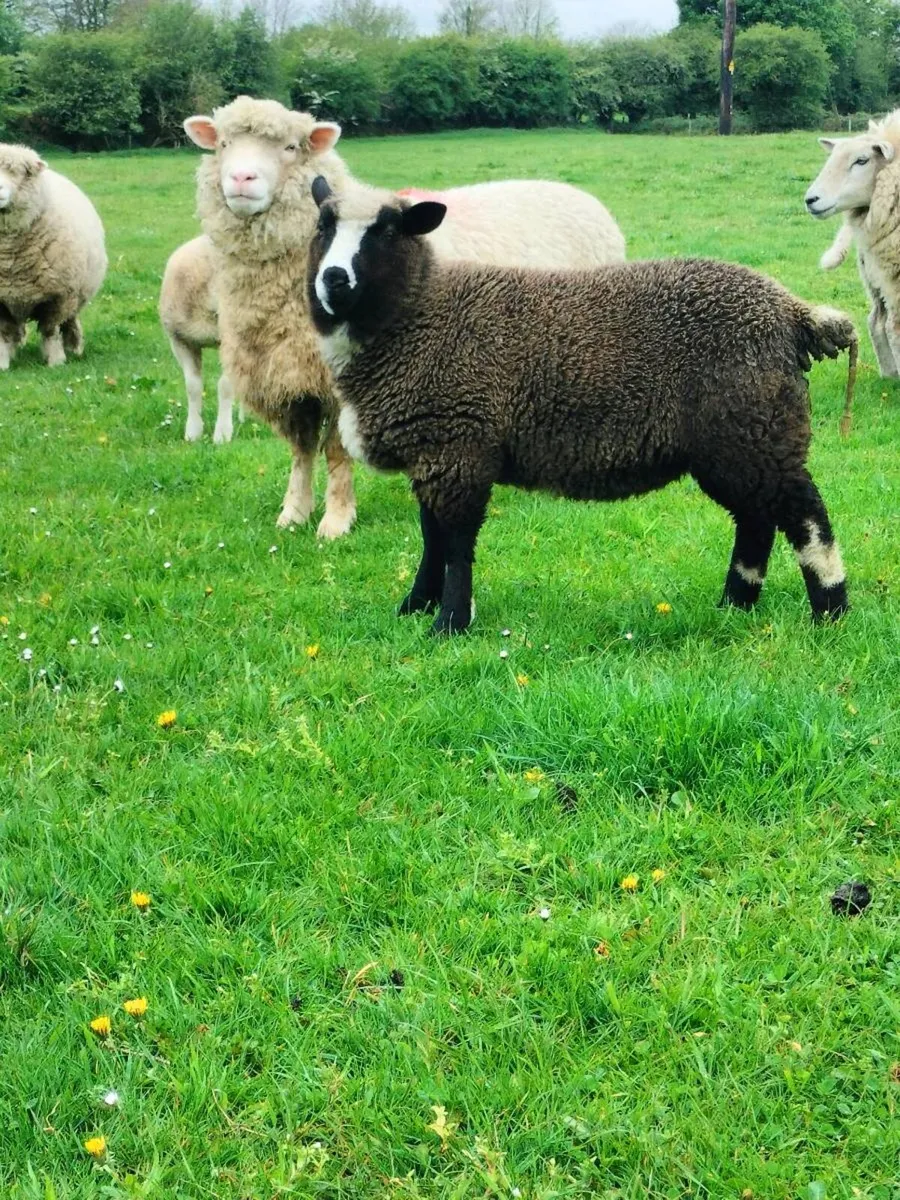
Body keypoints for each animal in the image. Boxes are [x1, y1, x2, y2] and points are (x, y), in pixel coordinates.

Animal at [0, 142, 106, 369]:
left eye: (21, 172)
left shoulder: (59, 296)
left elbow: (50, 330)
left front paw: (56, 362)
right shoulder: (2, 299)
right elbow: (4, 333)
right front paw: (2, 363)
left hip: (76, 295)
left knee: (70, 322)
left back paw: (74, 348)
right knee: (17, 329)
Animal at [184, 95, 626, 535]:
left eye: (291, 147)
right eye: (222, 144)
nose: (241, 179)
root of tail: (580, 196)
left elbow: (336, 451)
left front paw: (336, 519)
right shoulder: (287, 376)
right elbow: (301, 450)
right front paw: (293, 513)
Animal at [308, 178, 857, 635]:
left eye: (387, 229)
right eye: (323, 225)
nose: (333, 278)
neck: (418, 317)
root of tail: (792, 314)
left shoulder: (458, 446)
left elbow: (457, 544)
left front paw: (449, 623)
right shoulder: (433, 452)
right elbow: (431, 538)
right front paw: (415, 606)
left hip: (754, 427)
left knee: (804, 514)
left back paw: (830, 611)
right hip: (737, 440)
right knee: (756, 519)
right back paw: (735, 605)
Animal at [806, 111, 900, 377]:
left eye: (862, 160)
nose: (810, 200)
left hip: (875, 273)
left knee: (877, 321)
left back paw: (890, 375)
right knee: (891, 325)